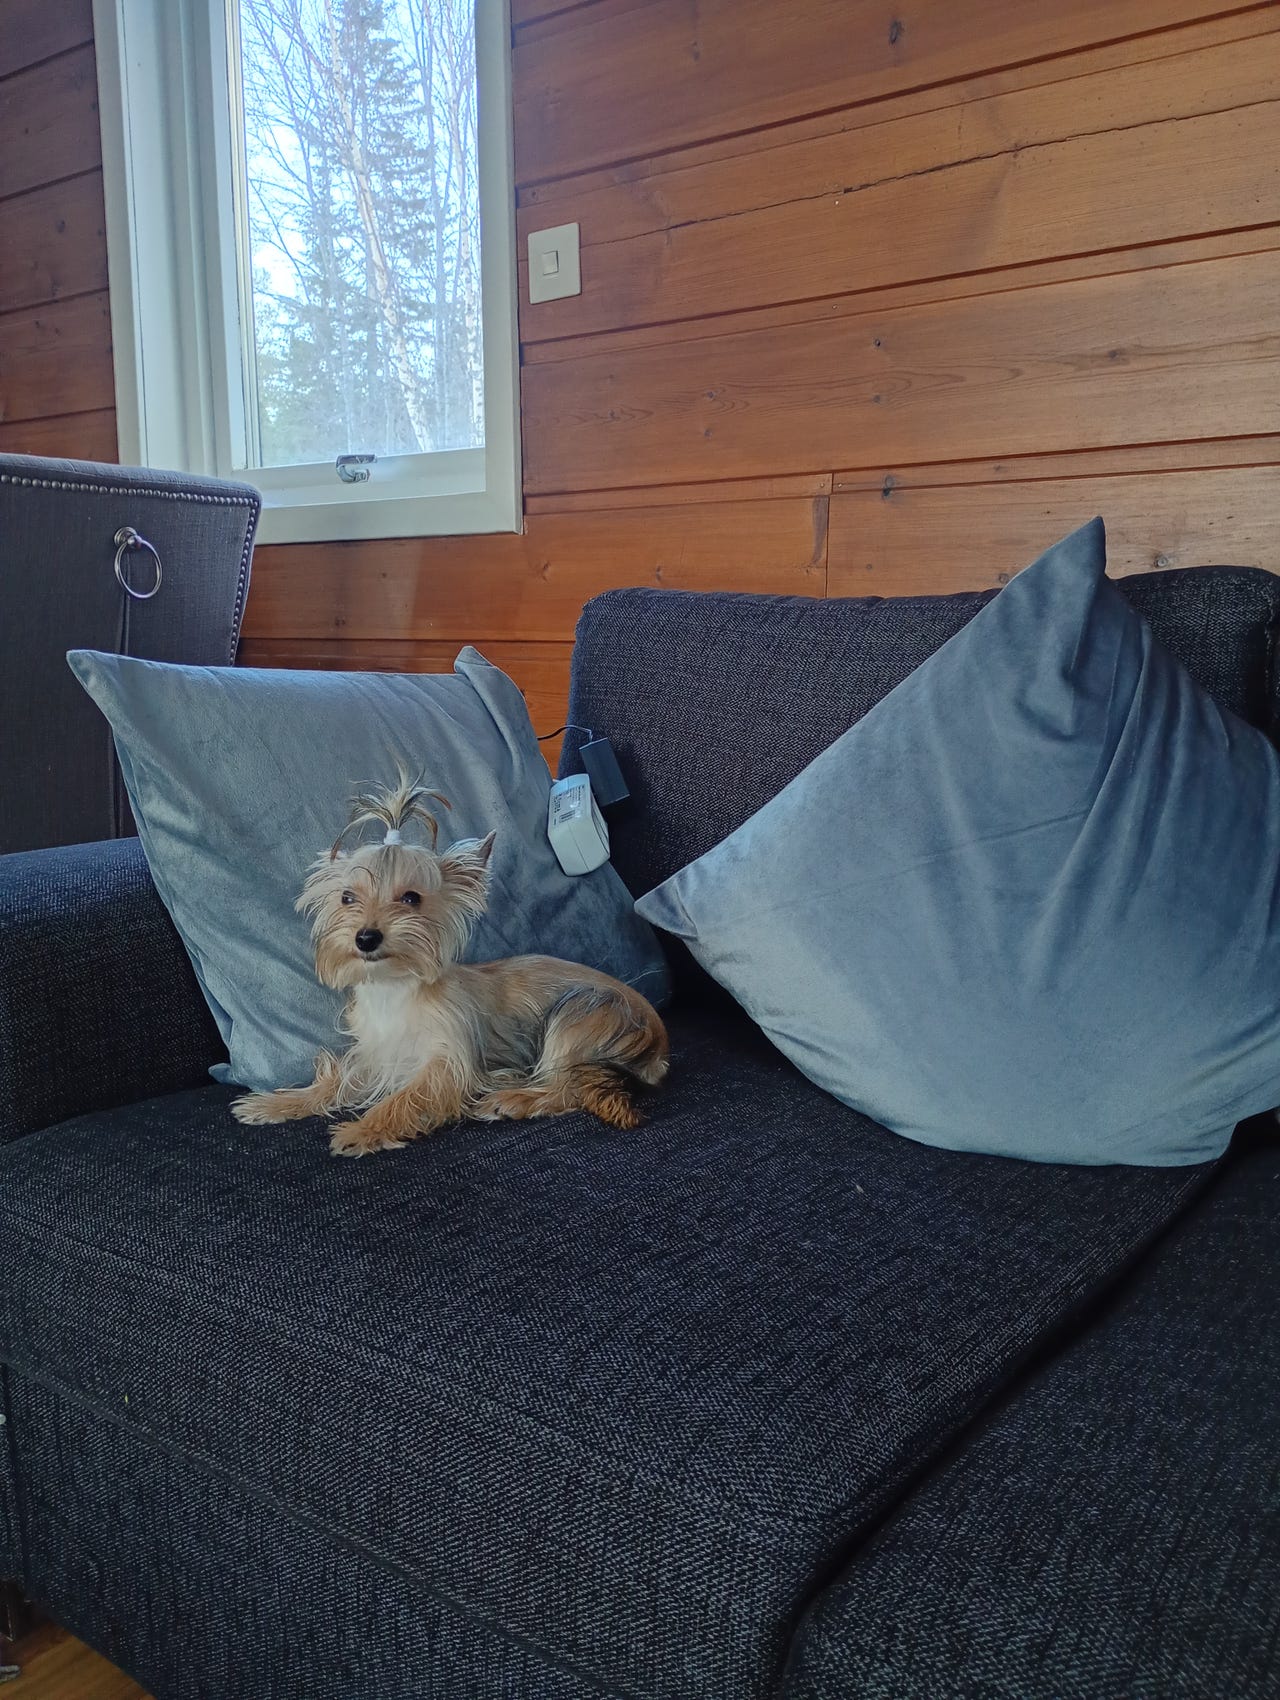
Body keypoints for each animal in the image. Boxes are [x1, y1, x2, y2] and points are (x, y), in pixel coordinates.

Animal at [231, 774, 668, 1156]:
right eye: (346, 898)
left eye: (411, 899)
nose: (365, 937)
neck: (394, 988)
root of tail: (659, 1043)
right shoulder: (374, 1057)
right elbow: (335, 1080)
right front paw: (275, 1104)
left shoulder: (448, 1065)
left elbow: (407, 1096)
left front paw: (364, 1129)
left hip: (581, 1015)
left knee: (568, 1089)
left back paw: (512, 1099)